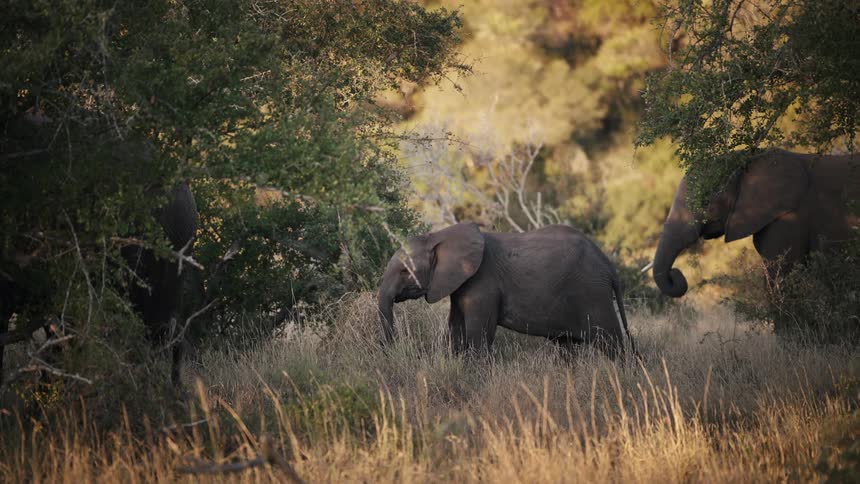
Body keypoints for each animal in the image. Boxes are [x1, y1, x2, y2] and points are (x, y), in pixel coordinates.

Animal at [377, 223, 636, 357]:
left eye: (405, 271)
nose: (392, 348)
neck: (439, 236)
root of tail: (608, 265)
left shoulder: (484, 284)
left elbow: (479, 334)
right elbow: (456, 329)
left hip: (592, 293)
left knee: (611, 342)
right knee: (566, 346)